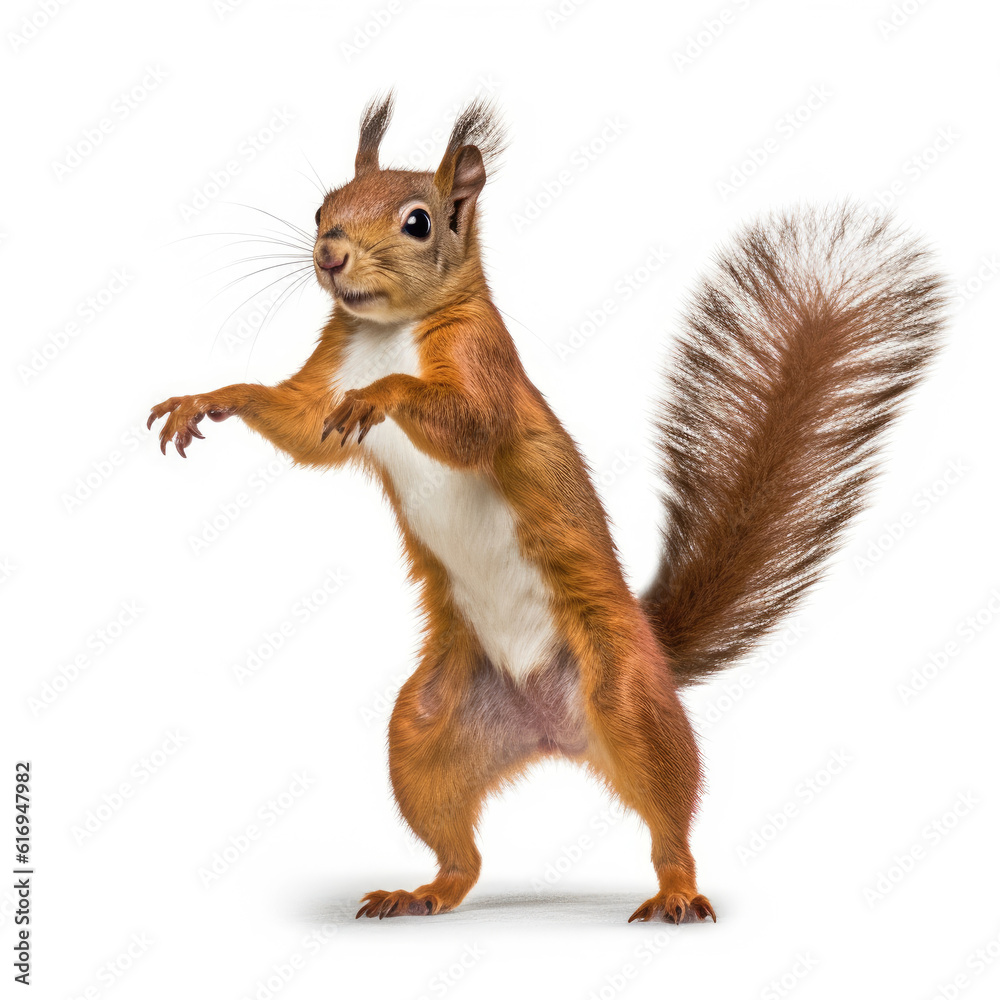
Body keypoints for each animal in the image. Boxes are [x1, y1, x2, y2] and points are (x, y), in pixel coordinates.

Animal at [149, 94, 946, 923]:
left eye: (418, 222)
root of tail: (551, 731)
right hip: (427, 729)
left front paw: (383, 396)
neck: (387, 333)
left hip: (624, 696)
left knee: (669, 813)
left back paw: (677, 891)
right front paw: (208, 398)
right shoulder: (328, 374)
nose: (330, 254)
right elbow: (303, 428)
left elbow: (469, 427)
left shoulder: (482, 365)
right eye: (320, 208)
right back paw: (421, 892)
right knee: (460, 852)